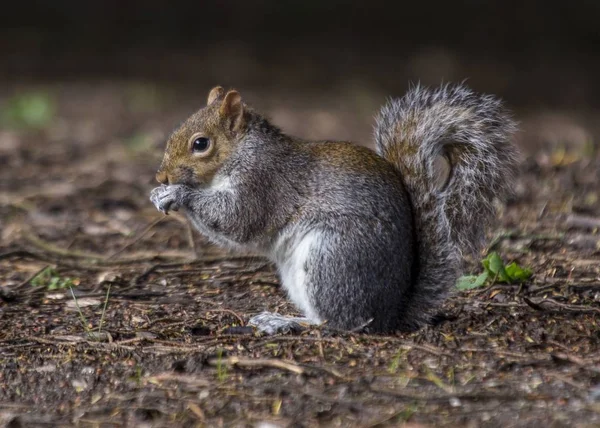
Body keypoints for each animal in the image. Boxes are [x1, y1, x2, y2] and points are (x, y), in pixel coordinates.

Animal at [149, 83, 516, 334]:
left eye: (201, 144)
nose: (161, 175)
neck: (243, 150)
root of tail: (390, 315)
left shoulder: (261, 182)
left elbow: (236, 219)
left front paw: (176, 193)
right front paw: (158, 192)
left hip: (330, 259)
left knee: (338, 323)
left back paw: (285, 323)